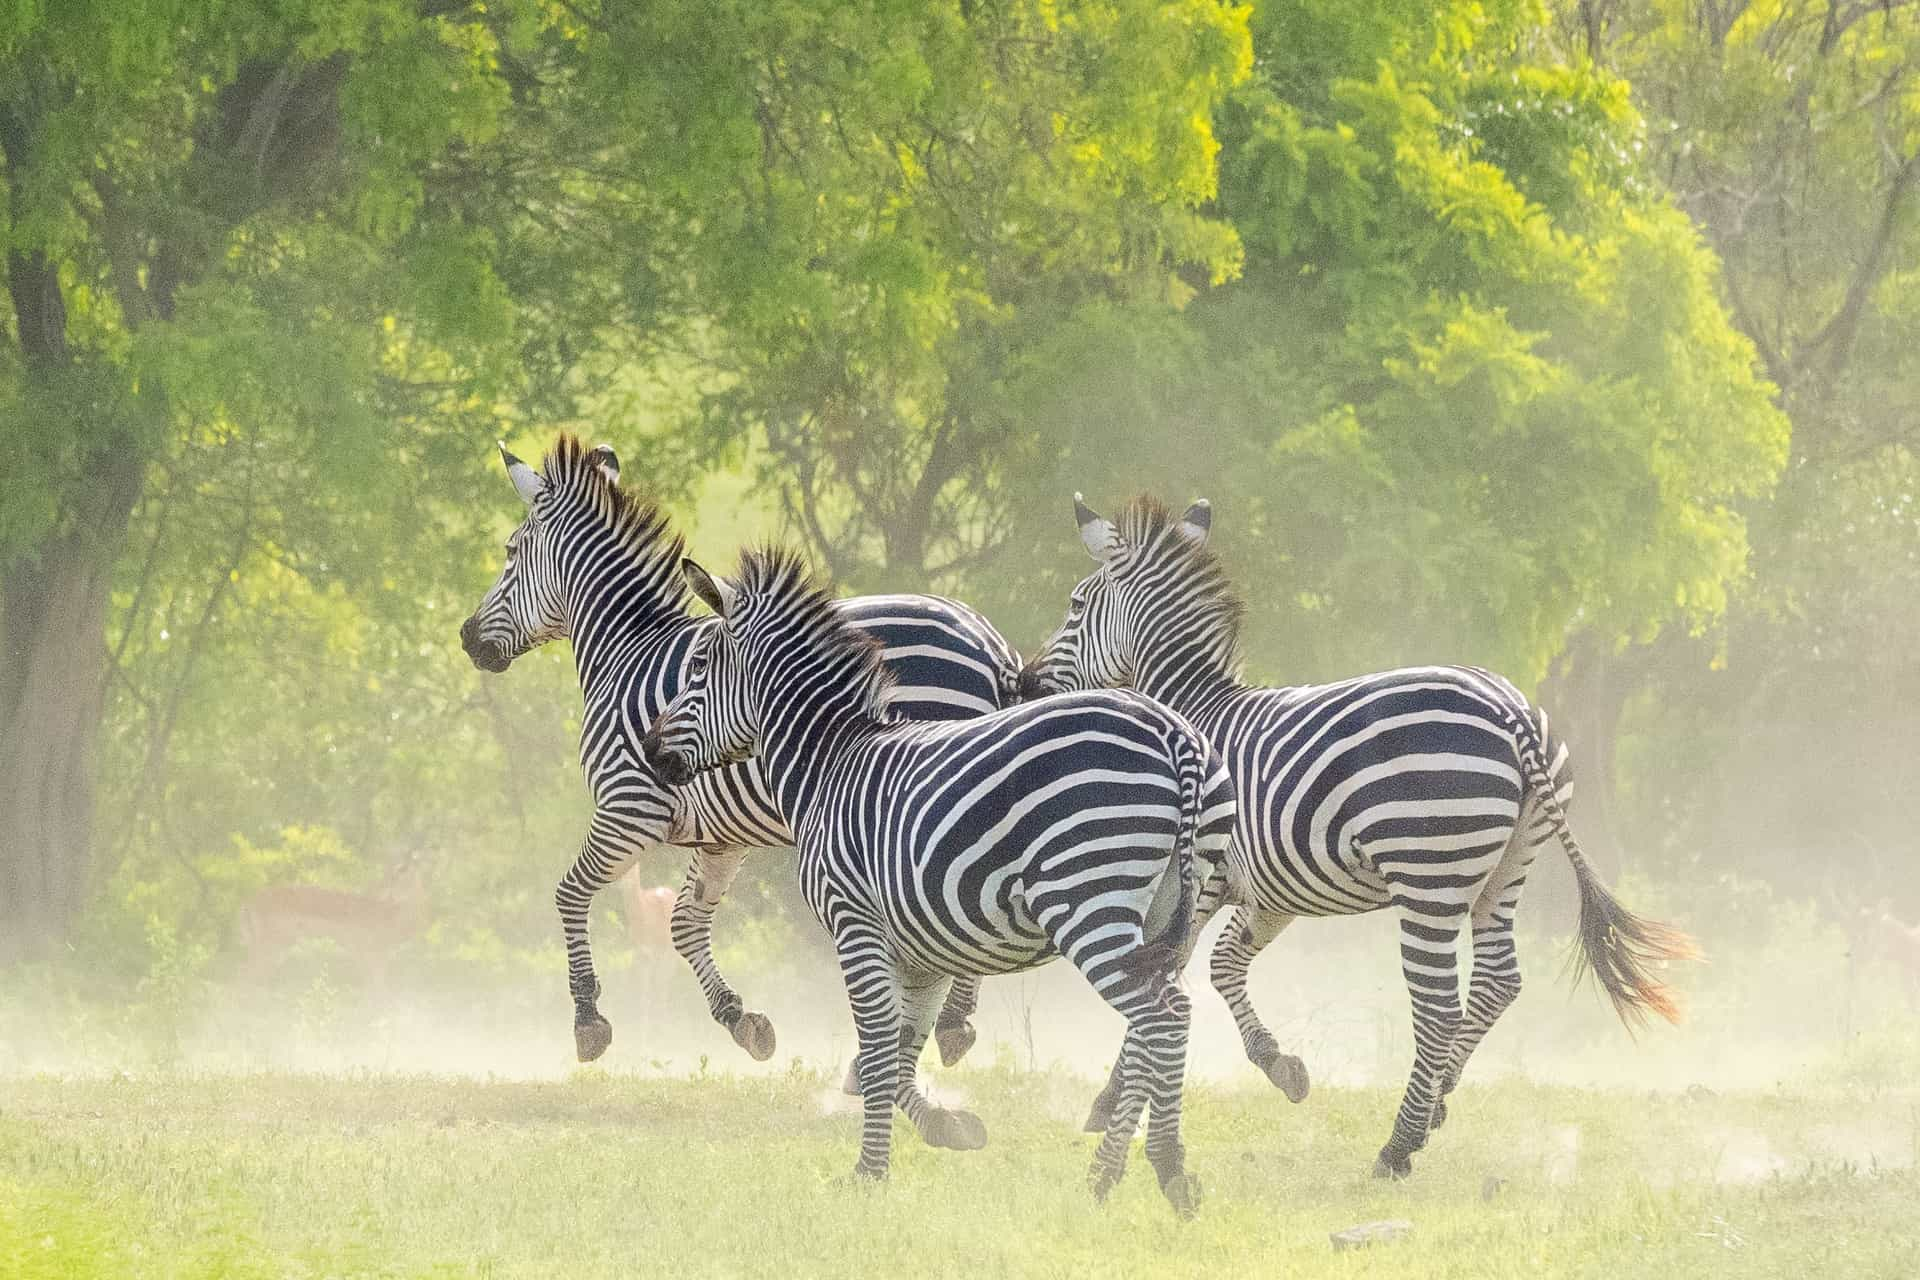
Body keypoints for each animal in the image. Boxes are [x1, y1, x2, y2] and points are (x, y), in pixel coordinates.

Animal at [453, 437, 1021, 1074]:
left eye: (510, 551)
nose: (467, 638)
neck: (625, 651)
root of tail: (990, 643)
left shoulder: (628, 809)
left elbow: (568, 893)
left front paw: (588, 1019)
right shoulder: (722, 835)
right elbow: (685, 924)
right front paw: (740, 1019)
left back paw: (949, 1023)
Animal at [641, 548, 1244, 1212]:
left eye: (698, 666)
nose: (649, 749)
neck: (829, 764)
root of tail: (1173, 734)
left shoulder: (854, 922)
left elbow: (879, 1046)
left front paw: (869, 1173)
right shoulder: (921, 949)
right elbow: (901, 1047)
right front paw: (937, 1129)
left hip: (1088, 900)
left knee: (1160, 1020)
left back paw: (1151, 1172)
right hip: (1172, 910)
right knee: (1162, 1019)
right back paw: (1125, 1170)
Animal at [1021, 495, 1697, 1182]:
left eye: (1076, 605)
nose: (1027, 684)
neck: (1198, 712)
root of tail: (1509, 708)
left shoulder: (1205, 881)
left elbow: (1174, 970)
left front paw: (1110, 1100)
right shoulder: (1272, 895)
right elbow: (1220, 965)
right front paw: (1278, 1067)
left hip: (1430, 877)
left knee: (1438, 1007)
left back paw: (1398, 1145)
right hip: (1508, 865)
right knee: (1498, 981)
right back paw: (1438, 1102)